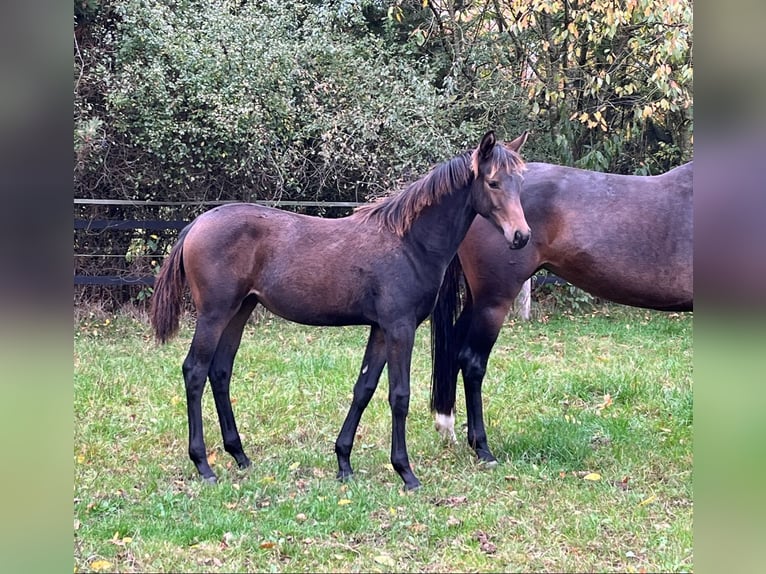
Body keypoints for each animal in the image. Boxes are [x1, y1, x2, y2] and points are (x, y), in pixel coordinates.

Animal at [151, 132, 536, 490]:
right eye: (493, 182)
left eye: (520, 183)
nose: (521, 236)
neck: (409, 242)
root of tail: (196, 224)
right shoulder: (400, 328)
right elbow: (399, 395)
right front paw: (405, 472)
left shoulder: (381, 329)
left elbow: (364, 388)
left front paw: (344, 462)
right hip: (214, 315)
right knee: (195, 371)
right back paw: (204, 465)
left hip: (239, 312)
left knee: (220, 372)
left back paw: (240, 455)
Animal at [432, 160, 696, 466]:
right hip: (493, 302)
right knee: (472, 363)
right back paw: (482, 448)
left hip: (479, 301)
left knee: (452, 348)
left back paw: (447, 427)